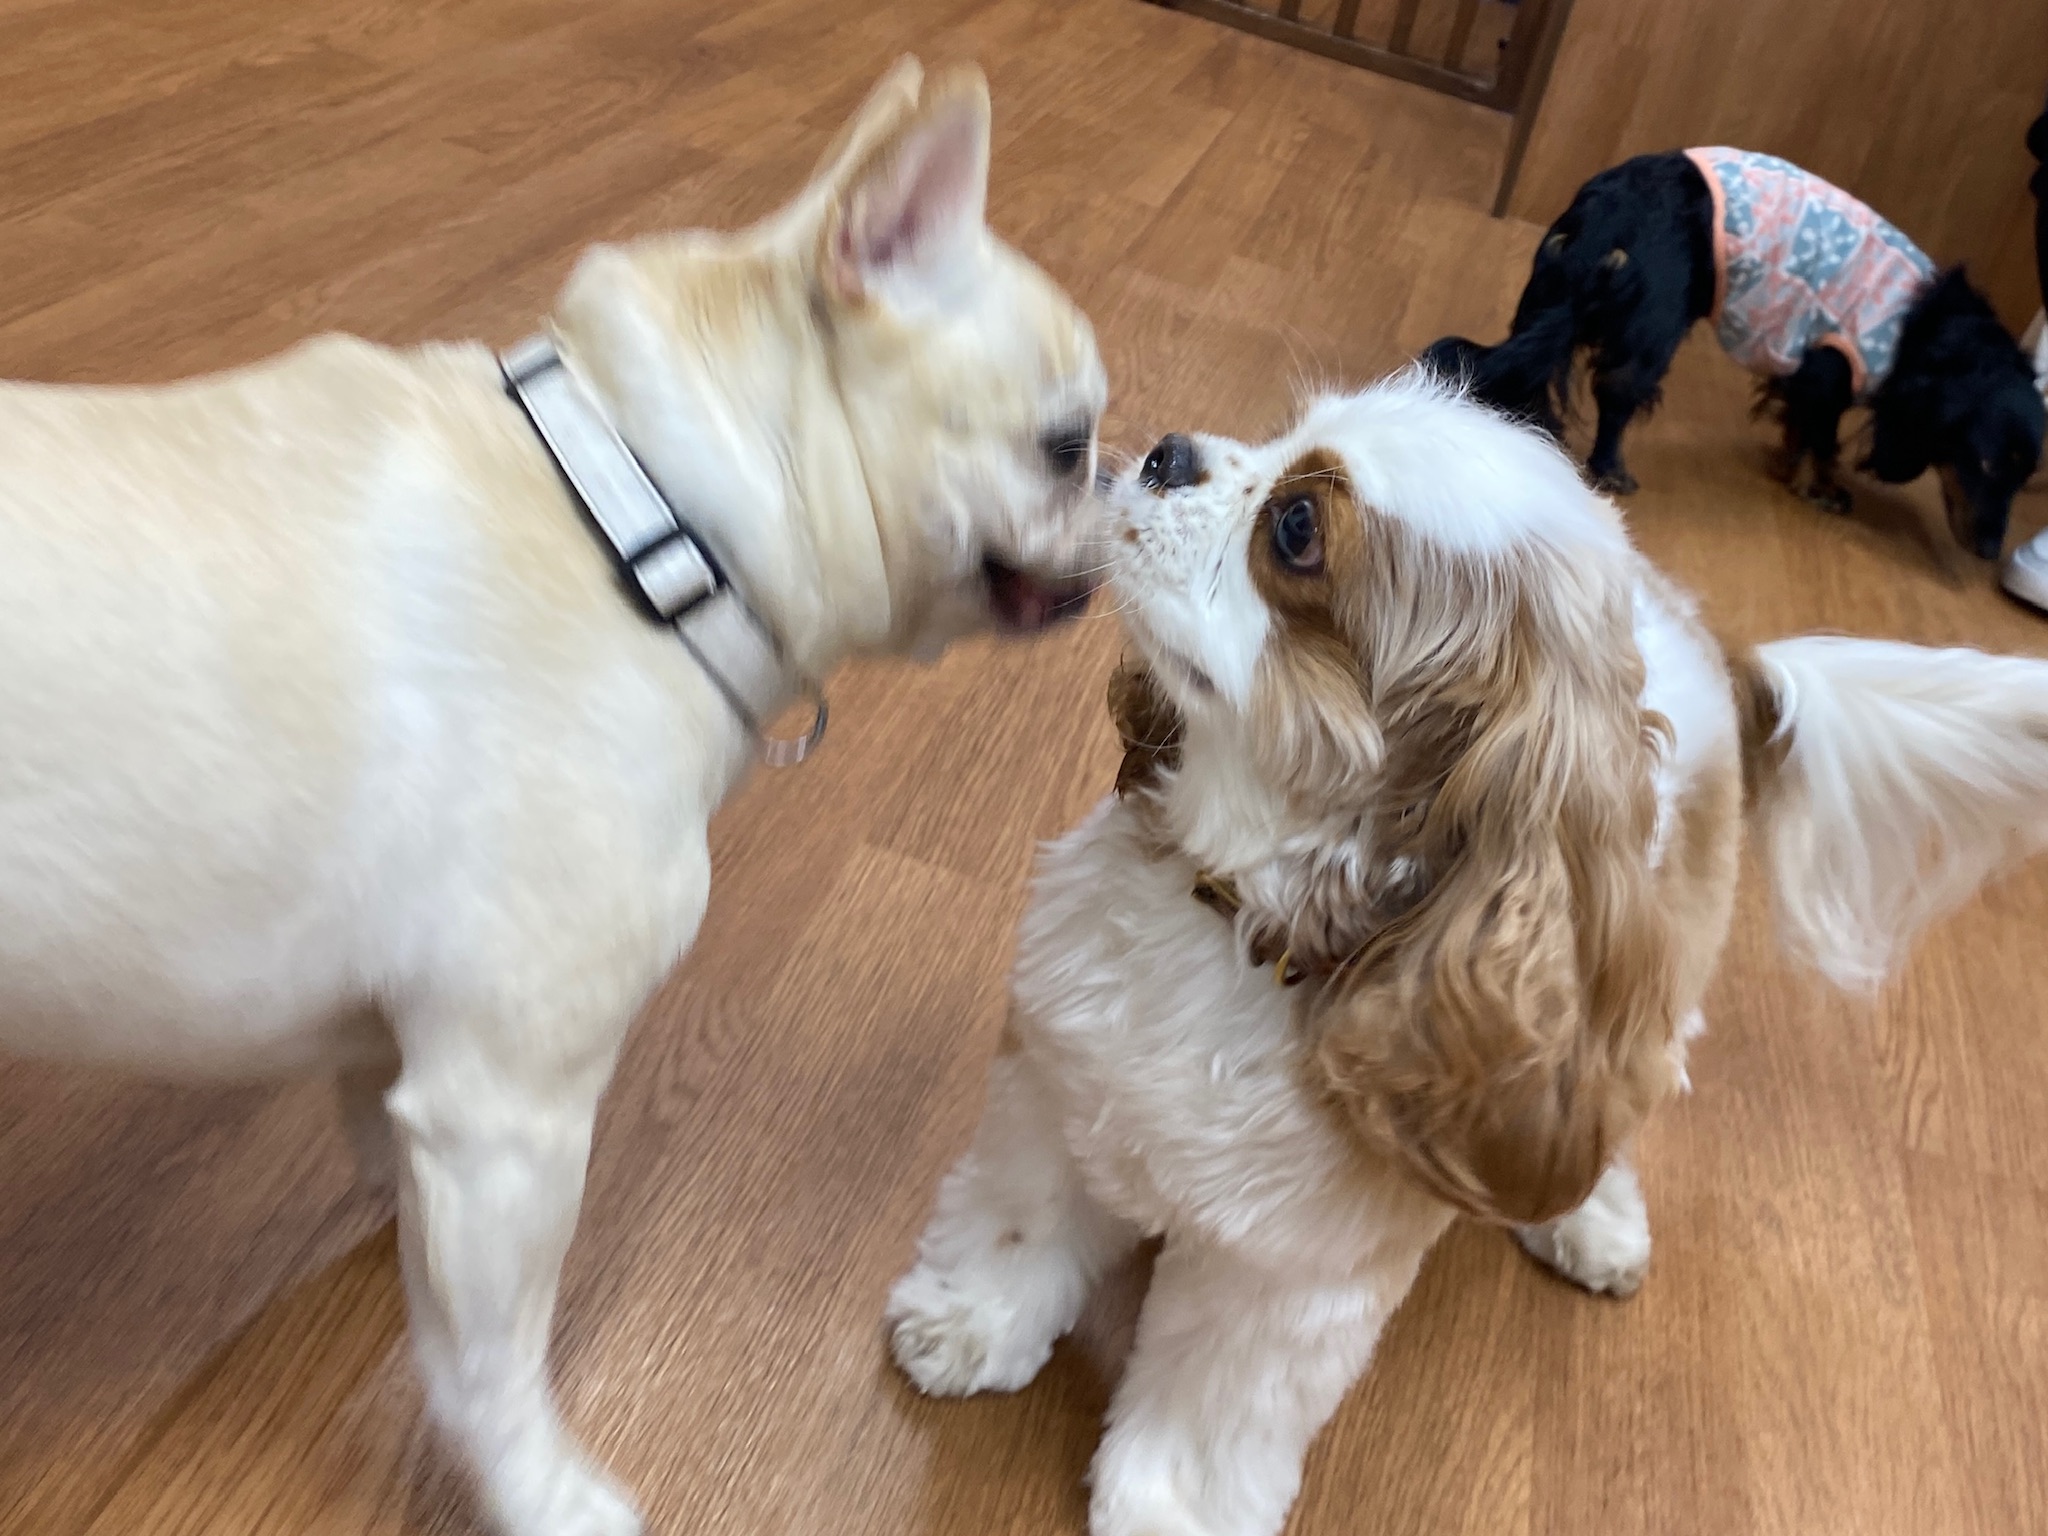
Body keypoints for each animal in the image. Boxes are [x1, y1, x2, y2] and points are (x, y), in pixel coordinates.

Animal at [0, 58, 1106, 1536]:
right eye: (1064, 446)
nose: (1134, 479)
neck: (655, 521)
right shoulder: (510, 1115)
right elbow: (495, 1358)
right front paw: (536, 1488)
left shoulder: (418, 1062)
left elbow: (392, 1158)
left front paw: (391, 1242)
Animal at [887, 374, 2048, 1536]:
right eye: (1279, 437)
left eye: (1296, 529)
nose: (1169, 452)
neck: (1238, 924)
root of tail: (1711, 650)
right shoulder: (1055, 1088)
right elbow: (1015, 1228)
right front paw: (967, 1322)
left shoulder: (1290, 1279)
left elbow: (1209, 1409)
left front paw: (1170, 1509)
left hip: (1641, 1005)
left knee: (1609, 1118)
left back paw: (1590, 1221)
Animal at [1424, 150, 2045, 558]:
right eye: (1986, 464)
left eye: (2025, 478)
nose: (1991, 551)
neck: (1930, 326)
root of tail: (1604, 219)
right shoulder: (1832, 363)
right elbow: (1823, 438)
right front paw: (1820, 487)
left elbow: (1798, 425)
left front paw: (1787, 465)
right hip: (1655, 325)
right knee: (1616, 395)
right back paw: (1610, 468)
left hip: (1549, 300)